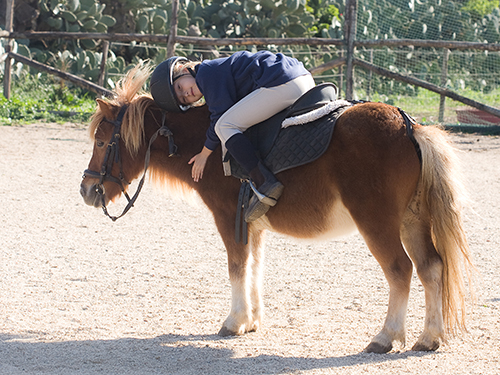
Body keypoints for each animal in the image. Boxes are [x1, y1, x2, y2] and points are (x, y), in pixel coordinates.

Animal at [80, 63, 474, 354]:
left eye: (101, 141)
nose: (87, 190)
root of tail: (409, 125)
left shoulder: (228, 218)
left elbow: (237, 267)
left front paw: (235, 321)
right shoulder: (252, 225)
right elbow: (254, 268)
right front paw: (252, 321)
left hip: (377, 224)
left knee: (400, 270)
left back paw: (386, 337)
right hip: (412, 221)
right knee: (431, 268)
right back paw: (429, 338)